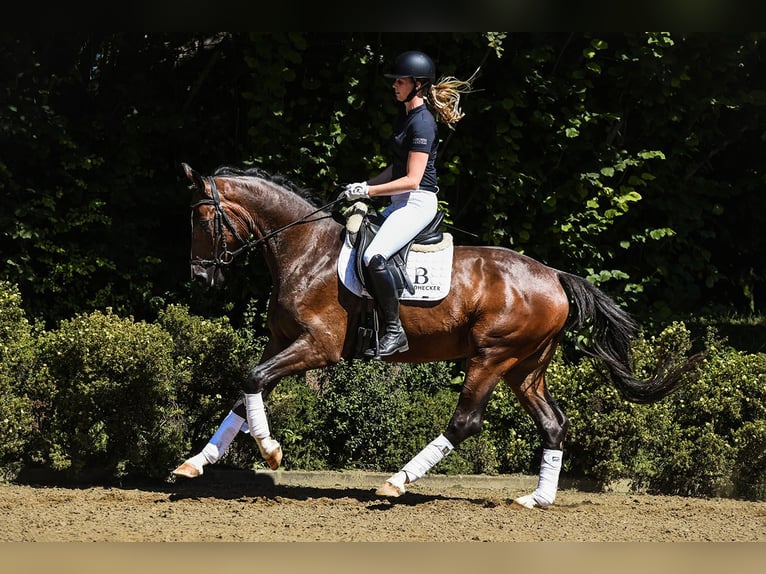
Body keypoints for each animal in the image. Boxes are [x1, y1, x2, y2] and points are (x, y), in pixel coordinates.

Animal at [174, 162, 704, 508]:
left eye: (202, 218)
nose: (199, 278)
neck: (304, 250)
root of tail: (554, 276)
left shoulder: (317, 349)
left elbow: (251, 380)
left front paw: (270, 451)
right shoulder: (281, 342)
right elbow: (245, 393)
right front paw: (195, 463)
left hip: (491, 357)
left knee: (466, 421)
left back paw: (396, 482)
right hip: (525, 367)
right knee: (553, 423)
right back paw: (537, 499)